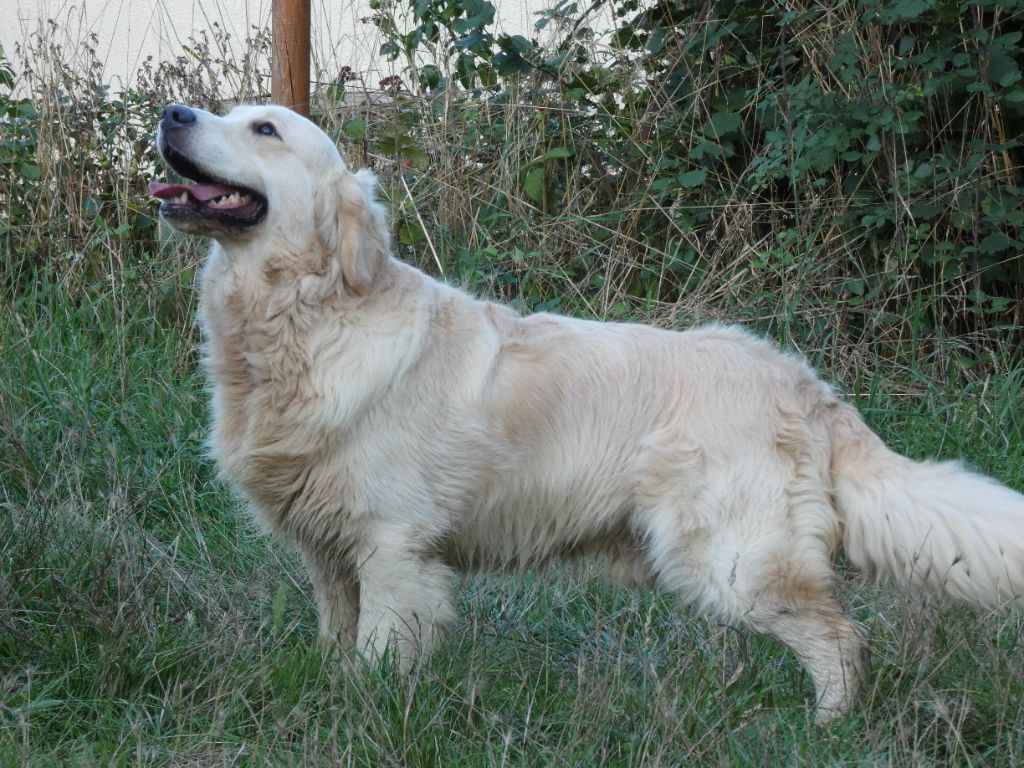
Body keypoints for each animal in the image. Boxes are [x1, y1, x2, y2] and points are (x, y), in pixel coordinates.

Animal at [151, 100, 1024, 720]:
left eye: (264, 128)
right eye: (226, 109)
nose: (172, 112)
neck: (305, 320)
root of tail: (804, 384)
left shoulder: (394, 546)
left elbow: (380, 656)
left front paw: (367, 709)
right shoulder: (332, 553)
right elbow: (336, 641)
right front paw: (332, 692)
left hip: (733, 560)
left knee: (841, 636)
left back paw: (828, 730)